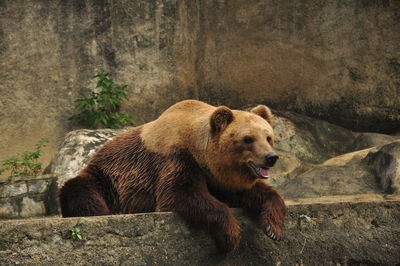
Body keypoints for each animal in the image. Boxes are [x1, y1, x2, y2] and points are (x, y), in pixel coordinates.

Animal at [58, 99, 284, 251]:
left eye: (268, 137)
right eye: (248, 139)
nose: (271, 157)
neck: (200, 150)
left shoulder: (217, 177)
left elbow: (254, 193)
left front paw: (273, 227)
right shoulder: (176, 158)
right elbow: (179, 194)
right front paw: (231, 235)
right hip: (105, 179)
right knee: (81, 192)